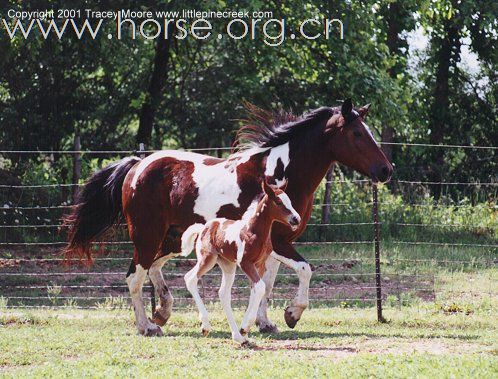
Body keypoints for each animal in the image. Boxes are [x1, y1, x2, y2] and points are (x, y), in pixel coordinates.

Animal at [181, 180, 302, 346]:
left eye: (289, 200)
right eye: (278, 201)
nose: (296, 219)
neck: (253, 232)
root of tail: (204, 227)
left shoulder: (259, 264)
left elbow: (256, 289)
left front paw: (244, 330)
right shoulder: (245, 263)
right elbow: (260, 287)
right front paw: (246, 327)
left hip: (228, 265)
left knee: (223, 293)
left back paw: (238, 337)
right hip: (207, 259)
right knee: (190, 278)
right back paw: (206, 326)